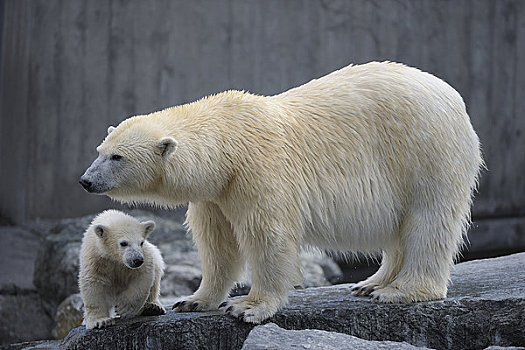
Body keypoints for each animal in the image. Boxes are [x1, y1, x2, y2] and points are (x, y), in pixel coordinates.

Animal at [80, 62, 482, 322]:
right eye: (99, 150)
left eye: (116, 157)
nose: (86, 181)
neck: (227, 143)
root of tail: (453, 97)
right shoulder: (216, 191)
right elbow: (217, 244)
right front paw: (194, 300)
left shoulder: (258, 171)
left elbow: (267, 236)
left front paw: (247, 307)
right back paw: (370, 283)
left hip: (423, 150)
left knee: (428, 219)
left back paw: (400, 290)